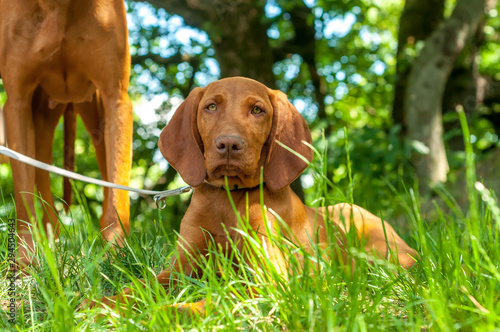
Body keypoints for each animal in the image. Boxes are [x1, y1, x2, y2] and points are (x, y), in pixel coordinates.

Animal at [0, 0, 133, 264]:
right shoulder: (17, 104)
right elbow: (24, 199)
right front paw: (24, 263)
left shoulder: (116, 99)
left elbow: (117, 194)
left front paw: (117, 258)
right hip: (40, 122)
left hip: (97, 118)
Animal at [90, 76, 418, 312]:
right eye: (211, 107)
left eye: (257, 110)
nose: (228, 145)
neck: (228, 198)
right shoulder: (178, 268)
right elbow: (138, 286)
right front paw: (98, 304)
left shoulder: (268, 279)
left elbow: (214, 300)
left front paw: (170, 312)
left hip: (376, 246)